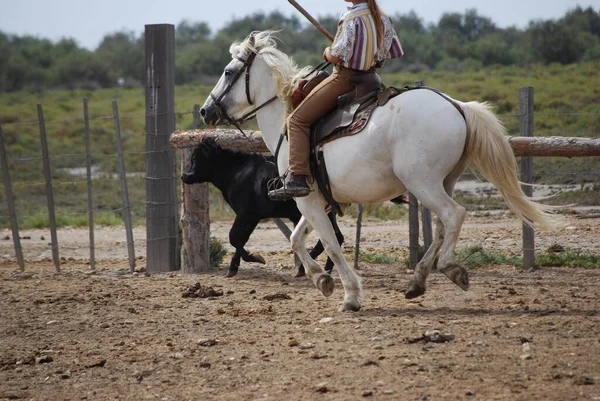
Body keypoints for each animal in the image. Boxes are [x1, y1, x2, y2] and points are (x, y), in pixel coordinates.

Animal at [180, 137, 344, 276]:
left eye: (195, 159)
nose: (184, 176)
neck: (236, 172)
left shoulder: (247, 213)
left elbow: (234, 237)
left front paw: (254, 258)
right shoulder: (250, 216)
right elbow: (241, 238)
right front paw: (233, 267)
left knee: (332, 238)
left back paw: (304, 268)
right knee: (336, 237)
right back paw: (324, 269)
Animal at [199, 32, 556, 312]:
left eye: (229, 71)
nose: (205, 110)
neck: (289, 118)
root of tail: (456, 105)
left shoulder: (307, 200)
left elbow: (329, 244)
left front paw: (350, 294)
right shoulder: (315, 201)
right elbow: (298, 240)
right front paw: (322, 280)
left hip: (423, 184)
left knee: (454, 215)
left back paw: (450, 269)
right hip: (444, 182)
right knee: (442, 226)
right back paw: (417, 281)